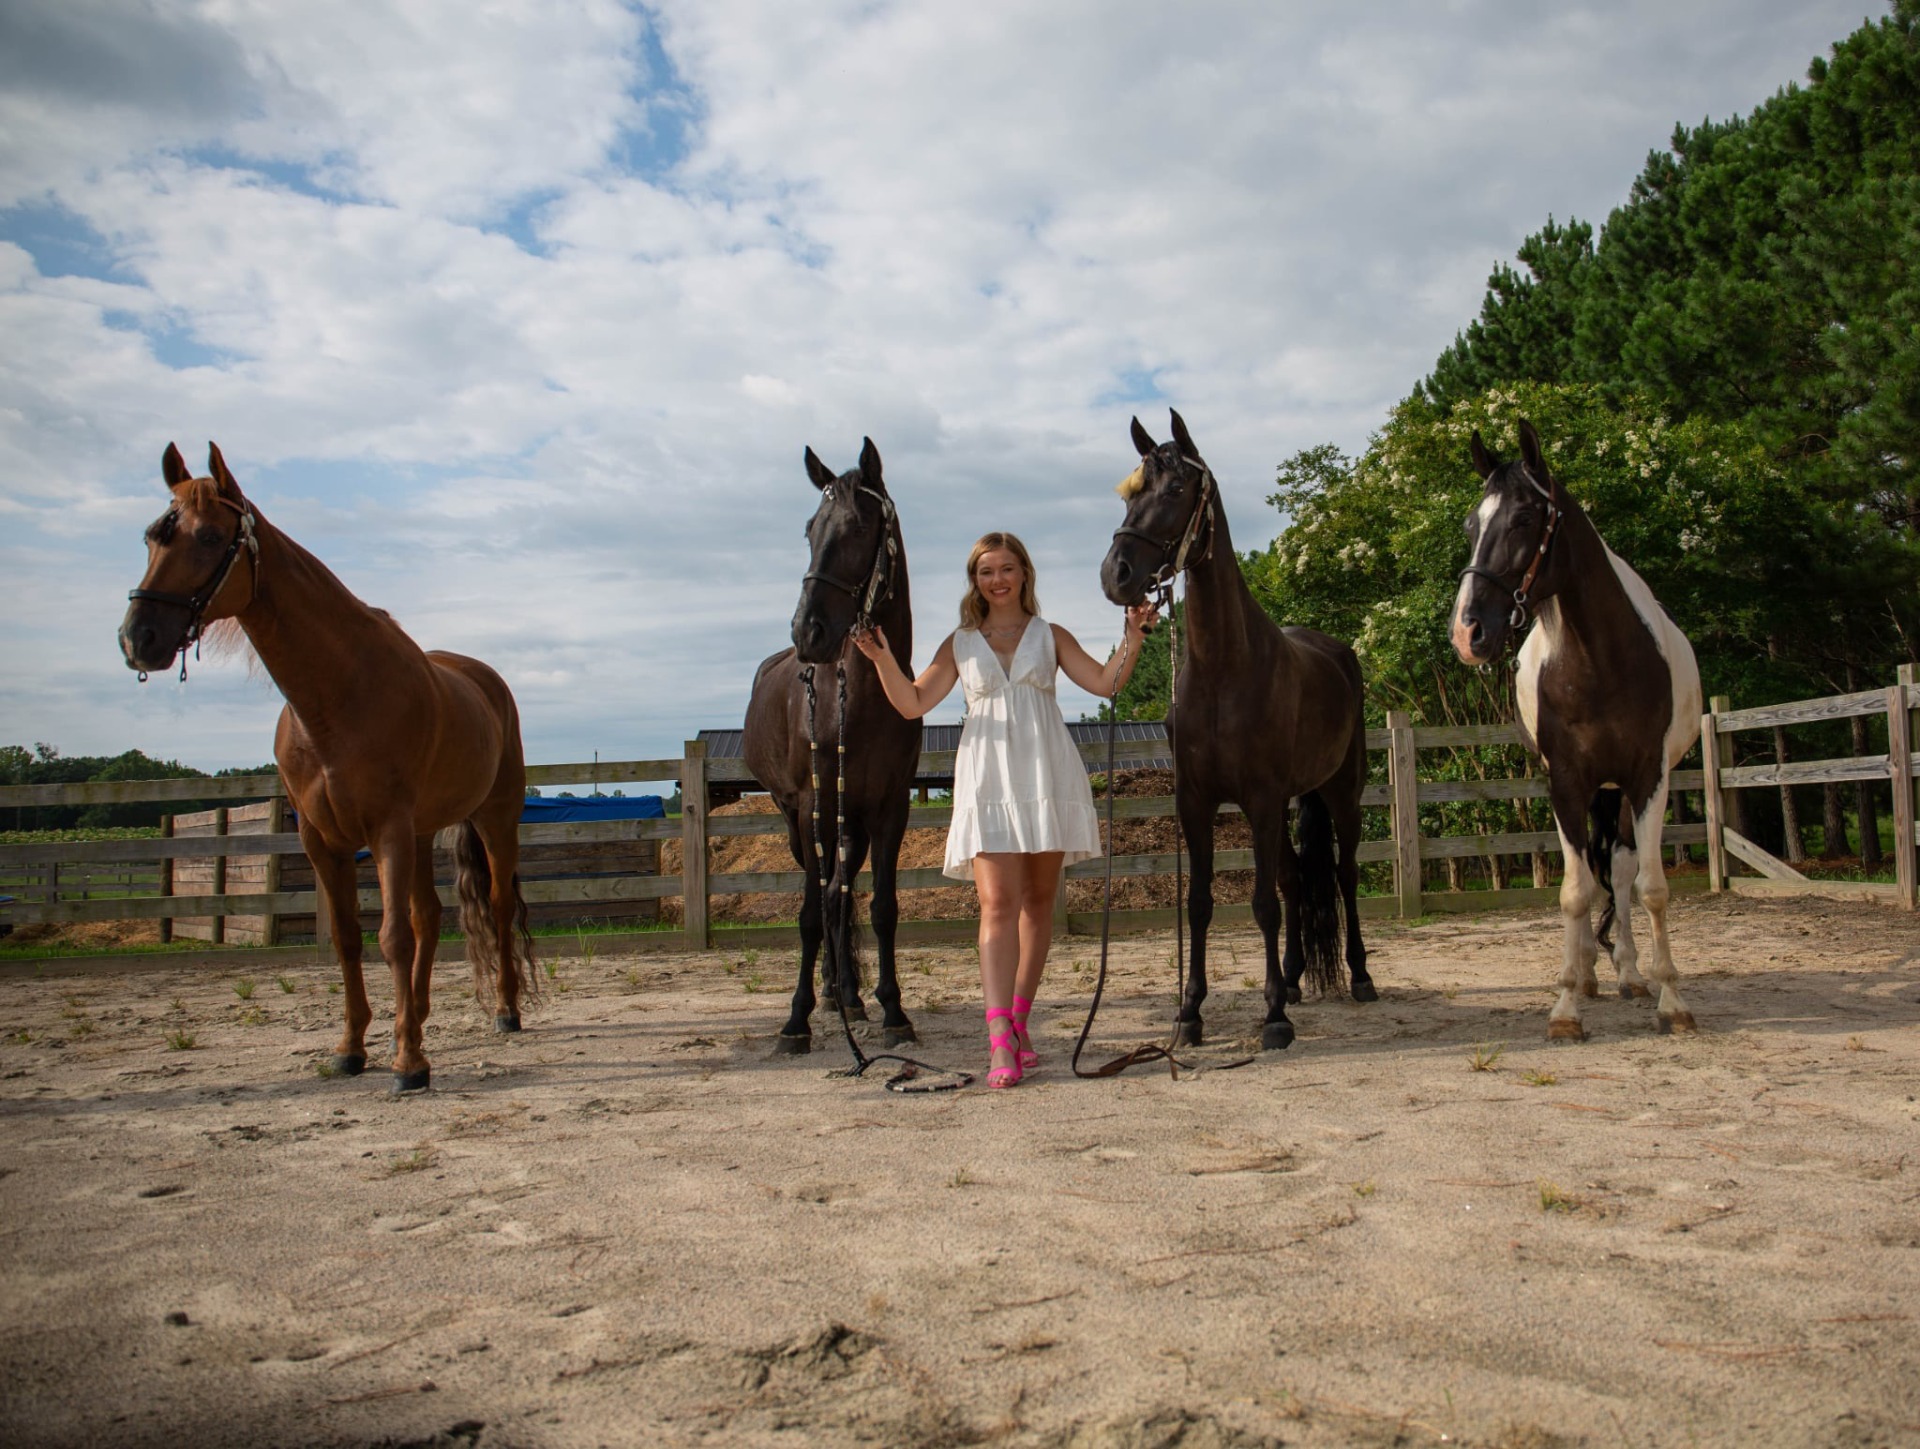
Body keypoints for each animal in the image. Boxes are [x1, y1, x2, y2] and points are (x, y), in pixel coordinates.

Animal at [118, 443, 536, 1092]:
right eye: (151, 537)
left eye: (210, 536)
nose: (139, 638)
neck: (338, 699)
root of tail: (484, 679)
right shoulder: (323, 840)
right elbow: (347, 939)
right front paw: (354, 1047)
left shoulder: (386, 829)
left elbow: (390, 937)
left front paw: (409, 1065)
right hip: (420, 834)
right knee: (428, 916)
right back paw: (415, 1017)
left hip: (493, 820)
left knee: (491, 907)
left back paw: (503, 1011)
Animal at [742, 438, 921, 1054]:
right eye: (810, 529)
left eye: (862, 527)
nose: (808, 631)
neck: (861, 699)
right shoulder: (811, 808)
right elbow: (808, 913)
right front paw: (795, 1019)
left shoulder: (889, 809)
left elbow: (883, 907)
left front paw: (893, 1010)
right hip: (800, 820)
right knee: (826, 897)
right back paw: (826, 995)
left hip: (852, 824)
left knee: (842, 895)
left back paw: (849, 996)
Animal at [1101, 410, 1376, 1051]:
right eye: (1130, 494)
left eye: (1176, 489)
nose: (1116, 575)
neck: (1224, 669)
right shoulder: (1196, 802)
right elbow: (1201, 903)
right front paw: (1190, 1012)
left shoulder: (1261, 799)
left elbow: (1262, 905)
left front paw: (1273, 1018)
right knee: (1297, 881)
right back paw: (1296, 979)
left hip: (1341, 795)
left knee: (1344, 874)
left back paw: (1358, 977)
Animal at [1450, 418, 1703, 1039]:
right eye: (1471, 524)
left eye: (1523, 518)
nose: (1468, 632)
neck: (1599, 662)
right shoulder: (1564, 781)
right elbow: (1572, 892)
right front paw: (1566, 1005)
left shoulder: (1648, 778)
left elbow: (1651, 888)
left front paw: (1671, 999)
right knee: (1591, 870)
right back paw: (1588, 972)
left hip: (1617, 794)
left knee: (1621, 869)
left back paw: (1630, 974)